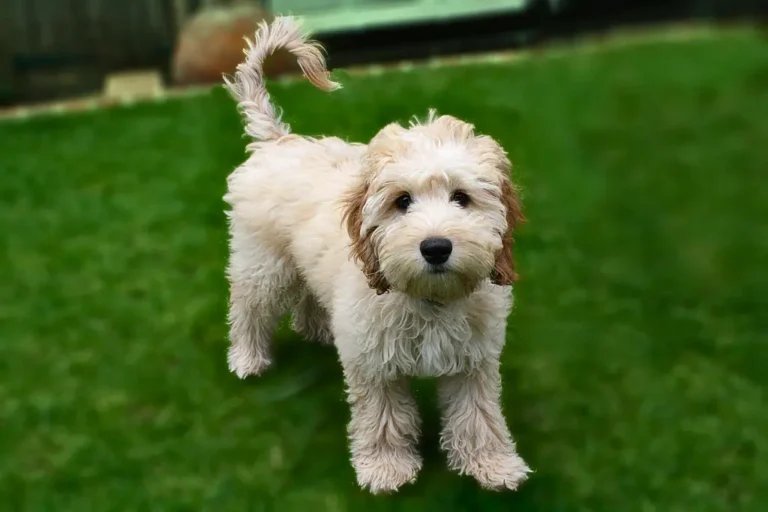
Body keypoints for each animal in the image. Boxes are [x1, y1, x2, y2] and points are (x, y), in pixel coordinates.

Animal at [222, 17, 532, 496]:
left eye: (461, 198)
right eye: (401, 202)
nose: (436, 247)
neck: (427, 301)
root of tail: (278, 141)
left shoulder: (474, 363)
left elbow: (479, 415)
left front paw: (493, 465)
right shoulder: (375, 366)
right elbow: (383, 418)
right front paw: (387, 470)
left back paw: (317, 329)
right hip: (263, 262)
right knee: (248, 307)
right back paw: (247, 359)